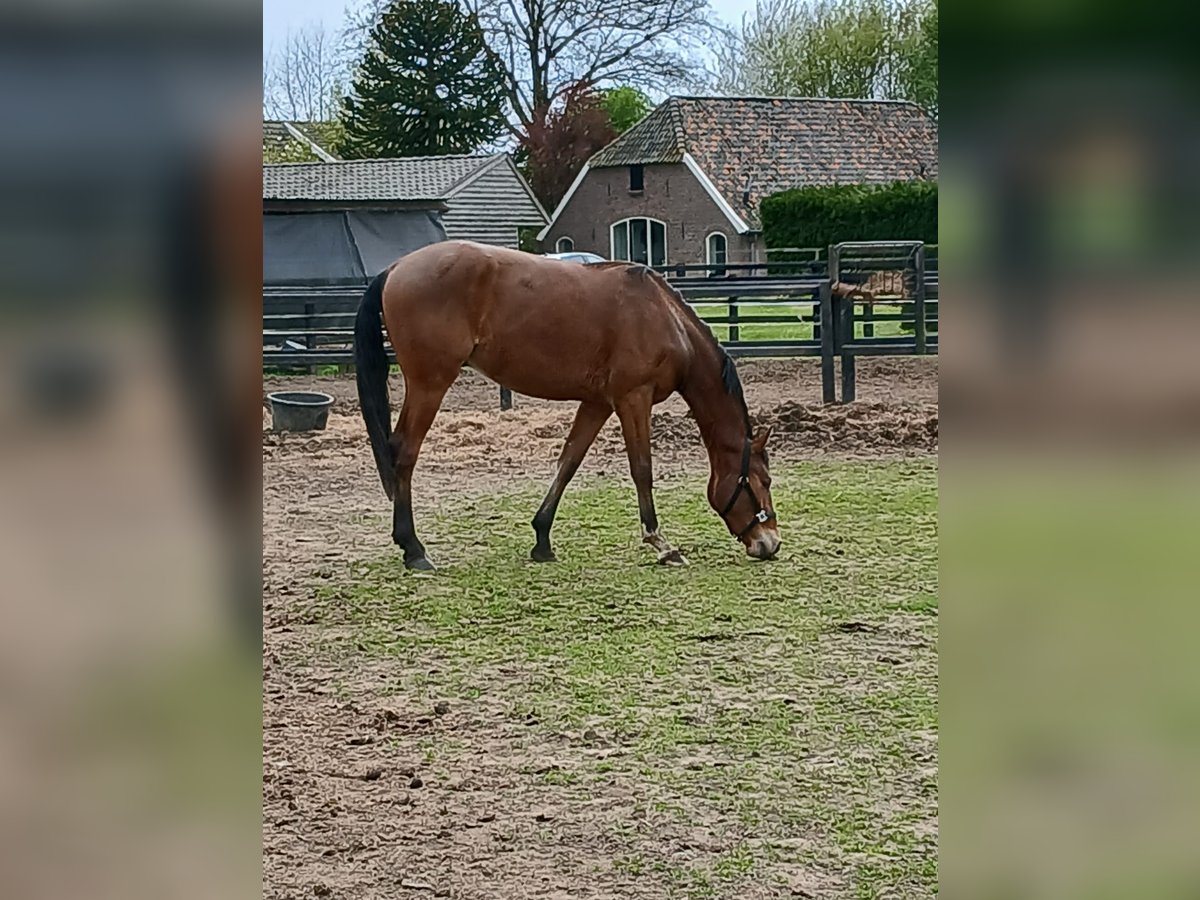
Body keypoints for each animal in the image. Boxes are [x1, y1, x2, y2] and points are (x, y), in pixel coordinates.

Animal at [353, 240, 780, 571]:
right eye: (764, 482)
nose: (771, 543)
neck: (665, 317)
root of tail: (396, 268)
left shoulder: (596, 403)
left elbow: (569, 462)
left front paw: (542, 539)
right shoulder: (633, 398)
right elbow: (642, 469)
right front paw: (662, 545)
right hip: (430, 384)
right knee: (404, 453)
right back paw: (413, 549)